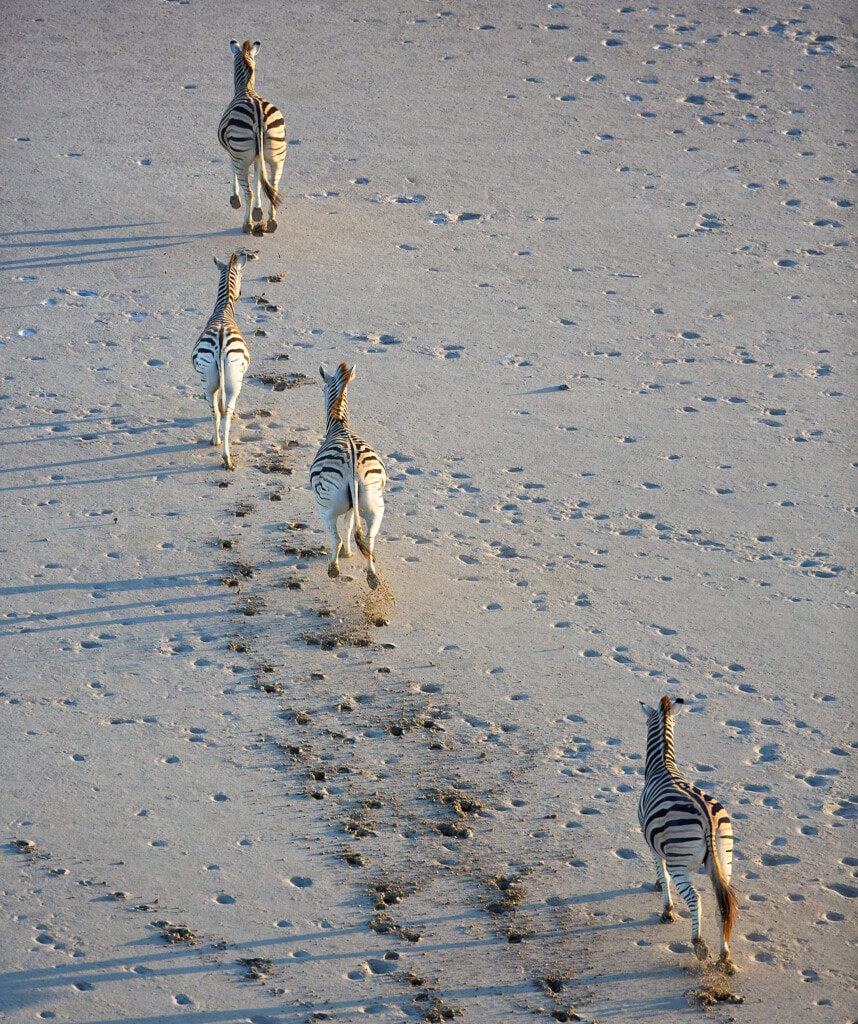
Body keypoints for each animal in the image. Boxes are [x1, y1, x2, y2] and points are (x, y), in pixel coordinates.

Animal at [191, 252, 251, 471]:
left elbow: (218, 406)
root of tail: (220, 341)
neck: (223, 310)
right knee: (225, 417)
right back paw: (225, 455)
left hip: (208, 381)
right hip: (234, 383)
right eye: (242, 276)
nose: (240, 293)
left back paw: (217, 443)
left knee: (216, 412)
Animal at [218, 39, 286, 236]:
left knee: (249, 191)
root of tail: (258, 116)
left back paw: (247, 224)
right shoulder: (257, 156)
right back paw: (271, 222)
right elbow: (258, 179)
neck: (246, 87)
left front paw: (235, 200)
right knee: (274, 189)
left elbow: (233, 171)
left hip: (241, 156)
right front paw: (258, 211)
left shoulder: (232, 152)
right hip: (278, 157)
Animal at [310, 363, 386, 589]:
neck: (340, 424)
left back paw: (333, 569)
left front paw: (343, 555)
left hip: (325, 507)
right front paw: (348, 554)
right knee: (369, 539)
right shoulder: (353, 504)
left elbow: (343, 530)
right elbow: (349, 523)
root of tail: (353, 467)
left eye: (323, 388)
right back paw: (371, 576)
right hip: (375, 505)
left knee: (335, 538)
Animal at [638, 696, 740, 973]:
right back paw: (725, 956)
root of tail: (708, 820)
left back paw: (699, 945)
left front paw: (667, 911)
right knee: (723, 904)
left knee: (696, 898)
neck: (663, 764)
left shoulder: (651, 844)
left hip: (680, 863)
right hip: (724, 859)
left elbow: (661, 873)